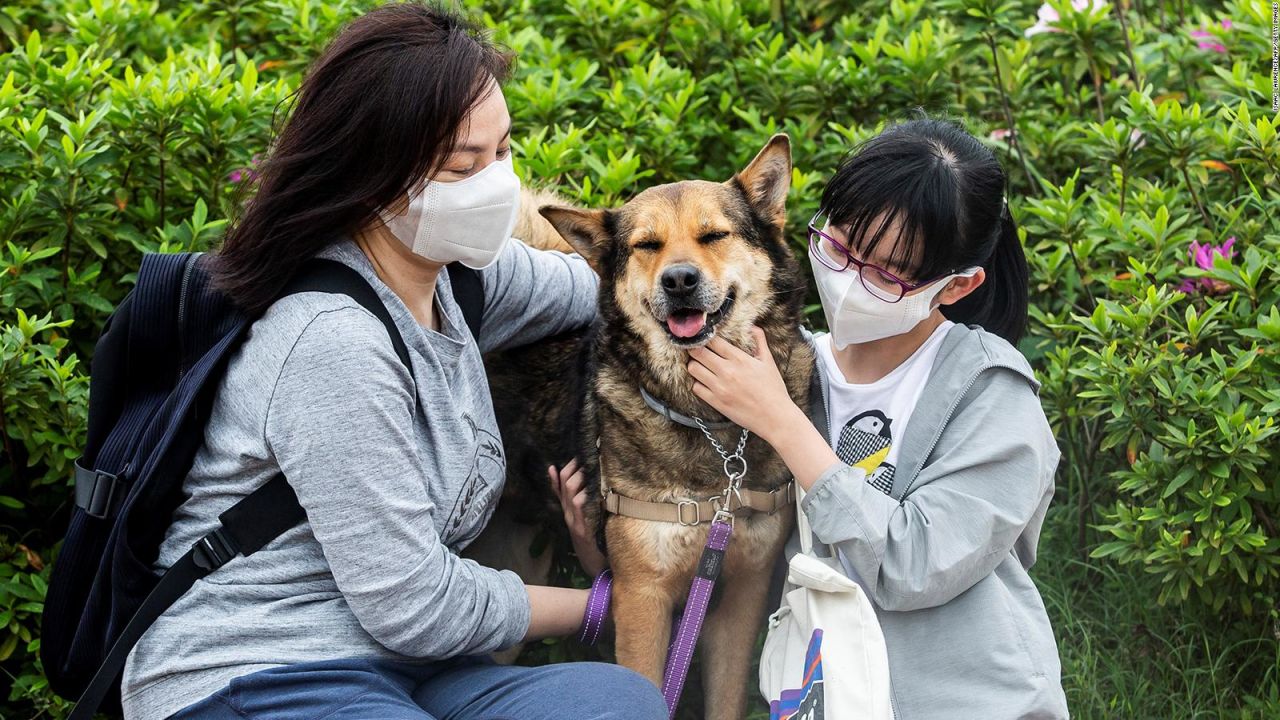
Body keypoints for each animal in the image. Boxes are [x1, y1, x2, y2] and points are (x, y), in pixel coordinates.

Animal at [481, 135, 808, 717]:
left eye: (713, 235)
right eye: (647, 245)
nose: (679, 280)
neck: (707, 421)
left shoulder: (739, 599)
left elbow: (725, 699)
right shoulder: (641, 599)